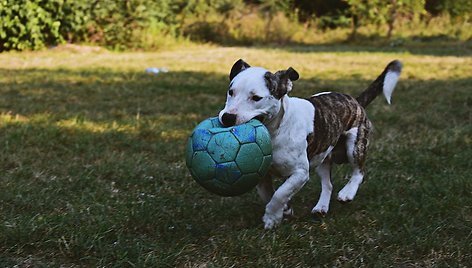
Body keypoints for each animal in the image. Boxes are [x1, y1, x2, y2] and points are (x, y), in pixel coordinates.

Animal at [218, 58, 402, 228]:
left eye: (256, 98)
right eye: (230, 92)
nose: (227, 117)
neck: (275, 130)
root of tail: (355, 101)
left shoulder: (300, 173)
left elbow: (280, 193)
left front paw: (272, 218)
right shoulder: (260, 174)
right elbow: (268, 194)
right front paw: (285, 210)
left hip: (355, 145)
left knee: (359, 171)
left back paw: (347, 193)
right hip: (322, 156)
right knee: (327, 184)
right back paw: (321, 207)